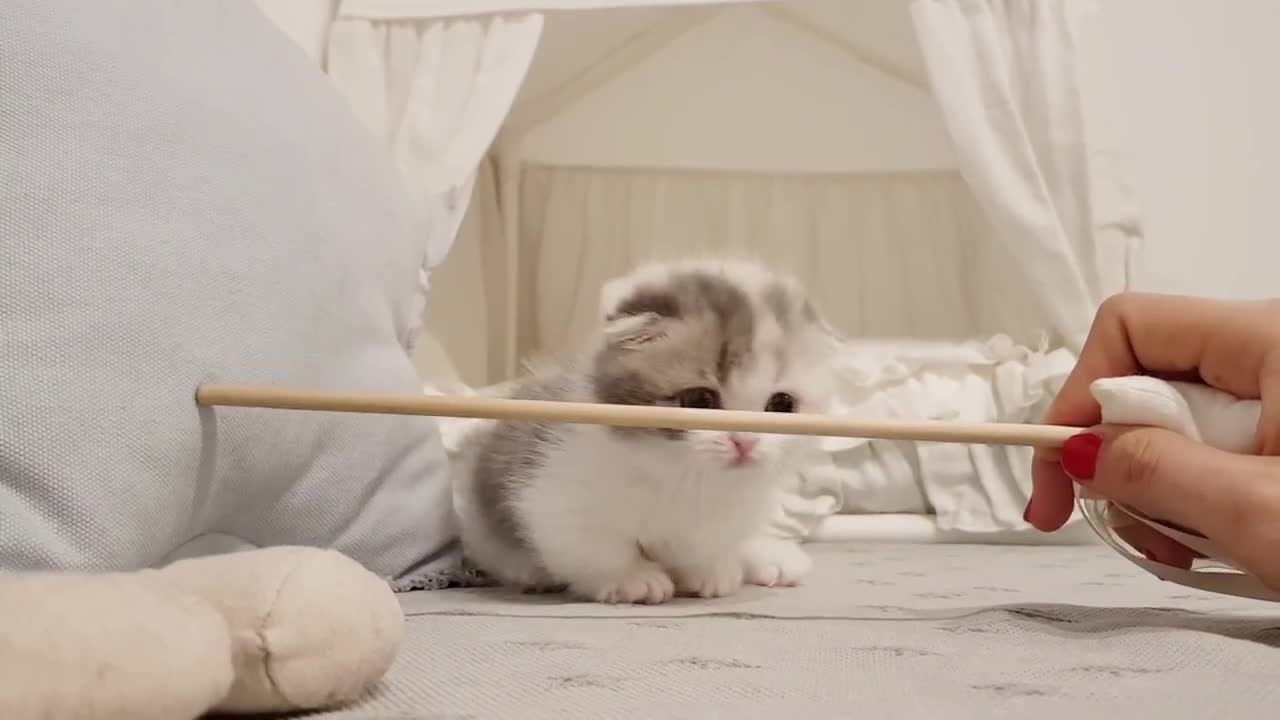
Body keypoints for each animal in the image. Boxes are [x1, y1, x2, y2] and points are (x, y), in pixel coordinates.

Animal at [455, 254, 844, 602]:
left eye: (781, 405)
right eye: (699, 400)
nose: (744, 442)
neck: (680, 474)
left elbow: (704, 543)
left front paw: (709, 570)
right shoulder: (553, 494)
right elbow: (593, 544)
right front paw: (631, 579)